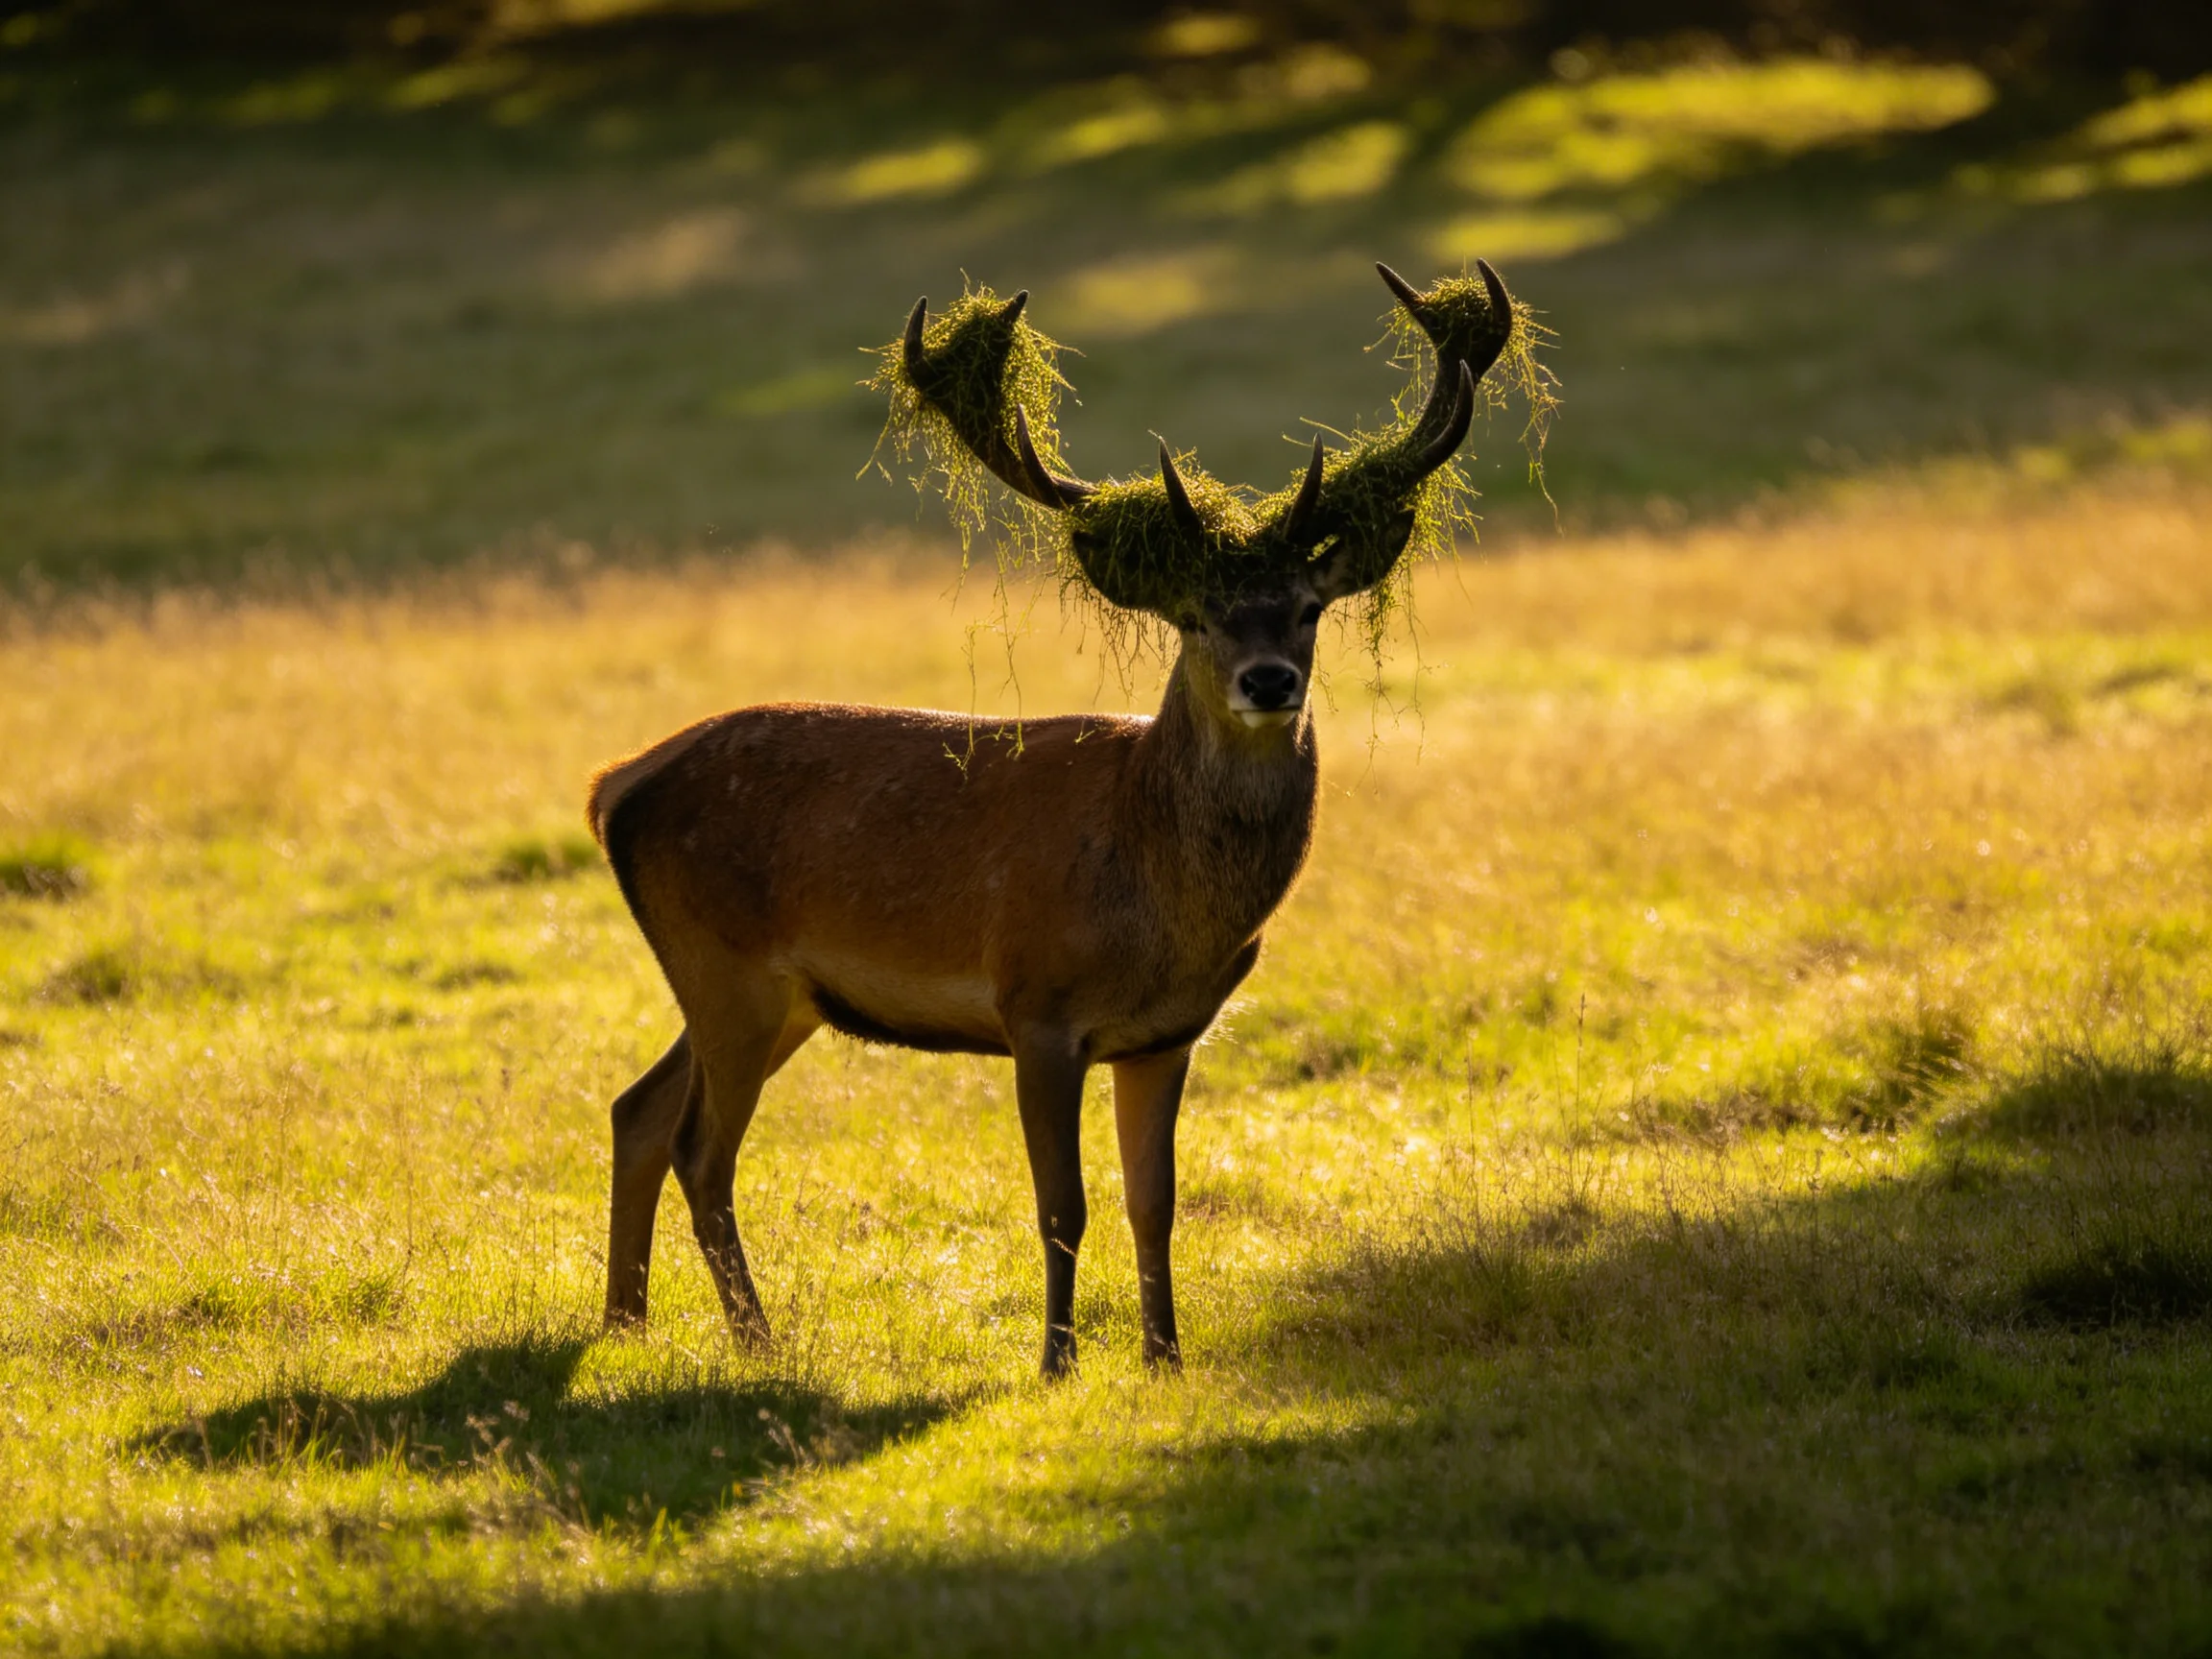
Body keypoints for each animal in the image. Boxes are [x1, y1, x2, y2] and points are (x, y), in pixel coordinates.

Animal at [588, 259, 1523, 1377]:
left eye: (1308, 607)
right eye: (1194, 614)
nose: (1269, 679)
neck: (1154, 890)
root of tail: (614, 788)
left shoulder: (1168, 1033)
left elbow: (1154, 1203)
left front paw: (1166, 1358)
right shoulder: (1034, 1005)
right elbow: (1060, 1205)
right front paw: (1058, 1362)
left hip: (770, 994)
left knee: (637, 1109)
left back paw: (624, 1325)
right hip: (726, 968)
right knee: (700, 1147)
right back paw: (758, 1344)